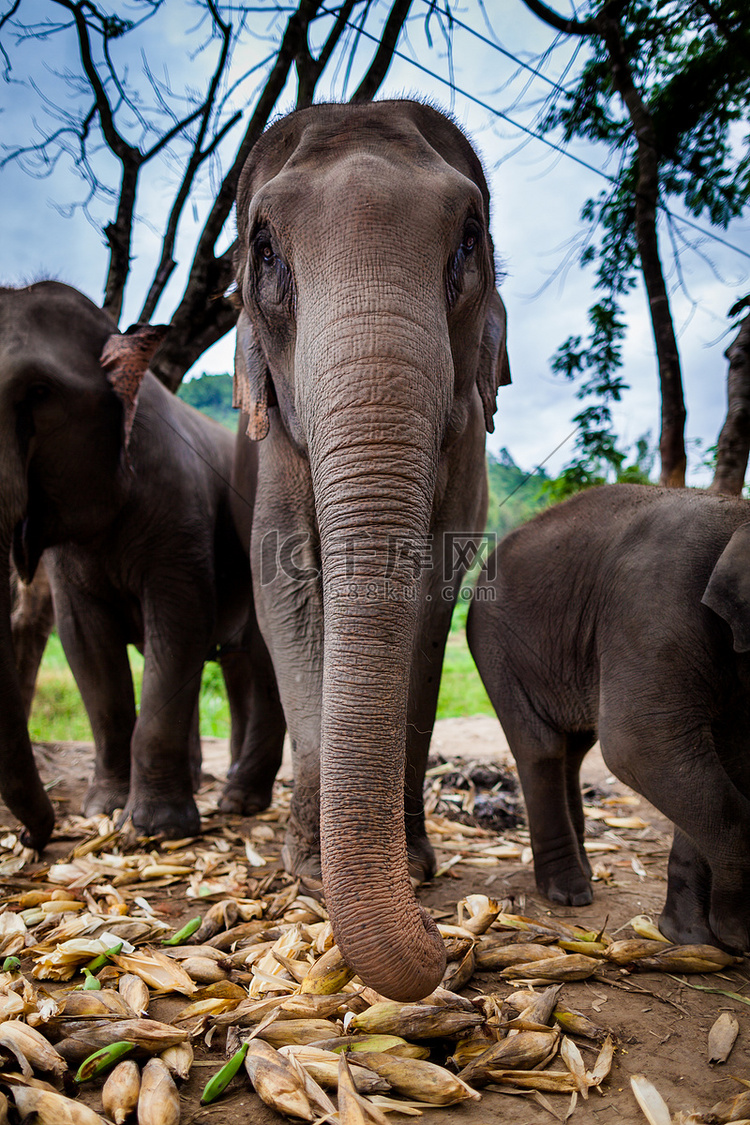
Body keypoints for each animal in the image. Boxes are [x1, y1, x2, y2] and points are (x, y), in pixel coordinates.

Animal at [0, 279, 284, 846]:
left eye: (39, 392)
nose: (30, 839)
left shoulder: (180, 519)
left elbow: (178, 625)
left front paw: (157, 830)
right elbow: (86, 643)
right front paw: (105, 810)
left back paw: (238, 801)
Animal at [232, 99, 510, 1003]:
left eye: (469, 239)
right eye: (264, 247)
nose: (442, 931)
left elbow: (433, 592)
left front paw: (414, 863)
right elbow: (282, 583)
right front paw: (309, 868)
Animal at [465, 479, 750, 954]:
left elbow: (726, 756)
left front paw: (691, 938)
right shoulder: (657, 605)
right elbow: (639, 746)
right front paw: (736, 933)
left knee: (572, 749)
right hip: (497, 644)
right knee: (540, 748)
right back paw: (570, 894)